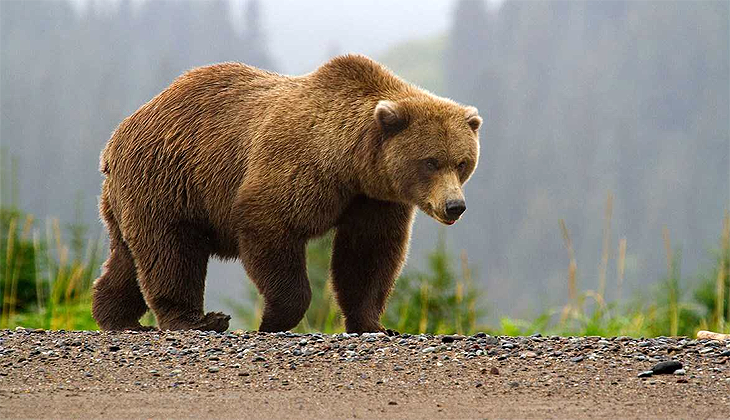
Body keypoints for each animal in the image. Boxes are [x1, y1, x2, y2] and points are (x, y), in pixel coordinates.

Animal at [91, 54, 480, 334]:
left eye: (462, 162)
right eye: (430, 161)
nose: (455, 206)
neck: (350, 163)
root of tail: (117, 136)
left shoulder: (373, 199)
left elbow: (368, 255)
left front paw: (374, 324)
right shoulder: (297, 167)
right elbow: (270, 226)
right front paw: (272, 320)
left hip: (133, 196)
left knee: (129, 257)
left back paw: (116, 316)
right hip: (169, 179)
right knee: (171, 251)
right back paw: (197, 320)